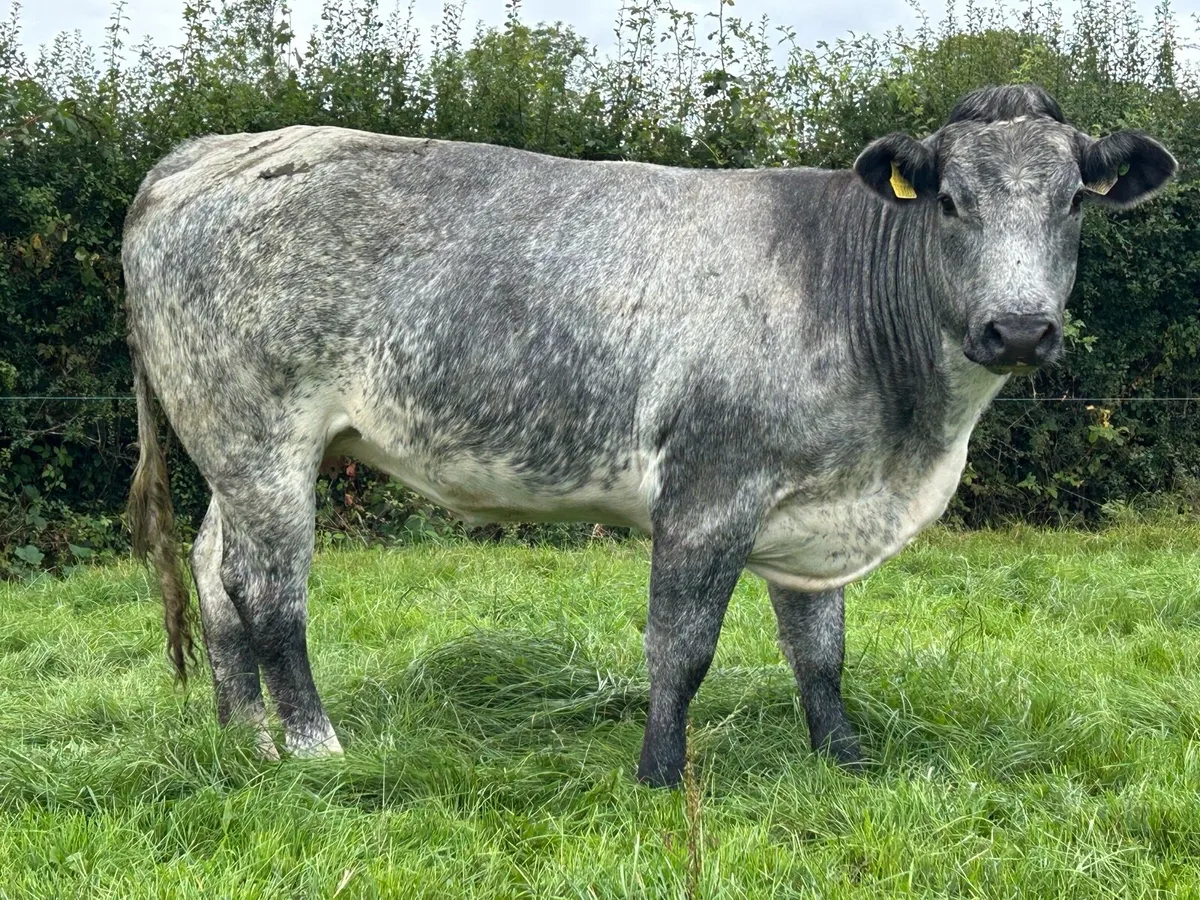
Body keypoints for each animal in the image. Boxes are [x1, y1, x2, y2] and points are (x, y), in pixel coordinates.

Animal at [124, 84, 1176, 787]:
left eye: (1073, 200)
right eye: (952, 201)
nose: (1020, 330)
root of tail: (205, 153)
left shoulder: (818, 509)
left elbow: (820, 649)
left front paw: (844, 759)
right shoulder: (711, 487)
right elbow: (682, 644)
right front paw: (660, 773)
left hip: (240, 453)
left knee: (216, 575)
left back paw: (244, 740)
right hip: (262, 432)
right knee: (268, 590)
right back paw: (313, 747)